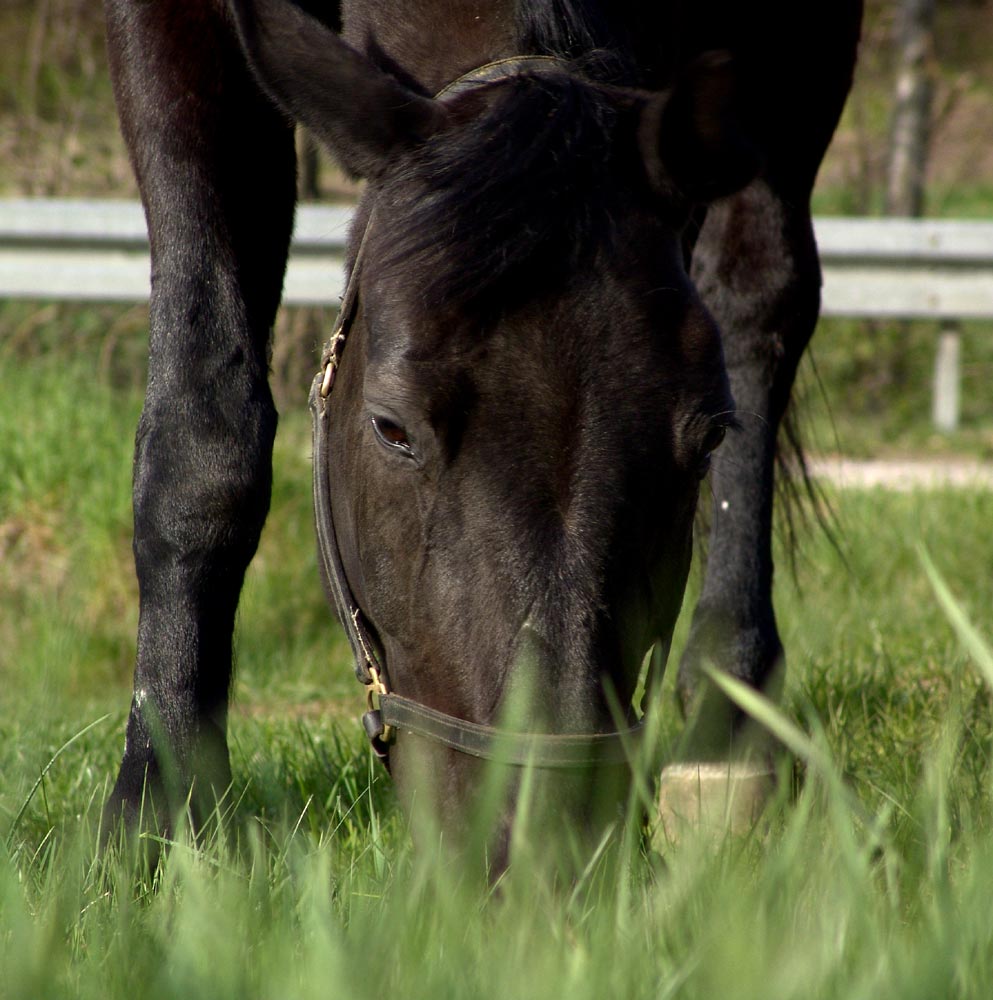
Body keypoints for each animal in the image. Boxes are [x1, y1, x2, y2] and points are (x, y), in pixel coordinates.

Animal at [102, 1, 860, 852]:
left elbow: (756, 295)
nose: (538, 831)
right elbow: (202, 430)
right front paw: (159, 810)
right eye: (391, 428)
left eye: (704, 444)